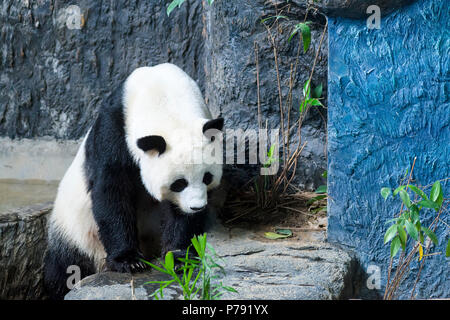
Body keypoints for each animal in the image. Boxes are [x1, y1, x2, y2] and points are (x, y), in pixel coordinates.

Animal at [44, 63, 223, 300]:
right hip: (74, 231)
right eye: (179, 183)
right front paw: (129, 261)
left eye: (207, 177)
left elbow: (179, 216)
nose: (196, 207)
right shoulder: (114, 129)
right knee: (63, 267)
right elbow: (111, 191)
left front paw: (179, 256)